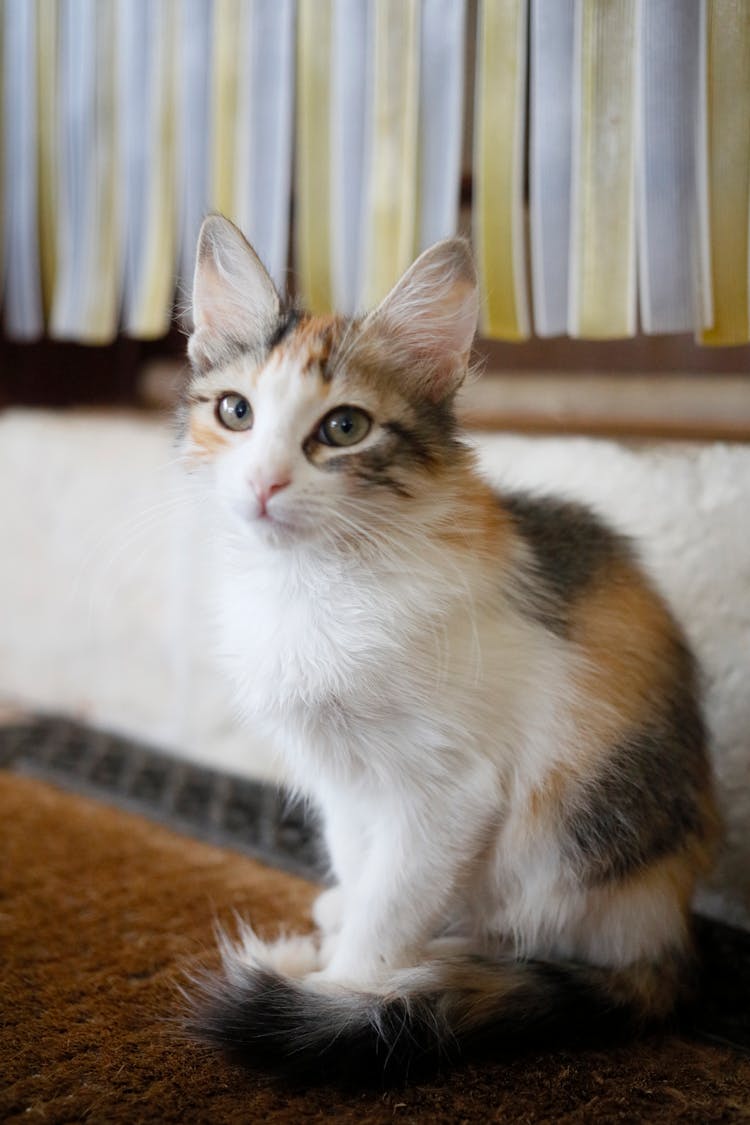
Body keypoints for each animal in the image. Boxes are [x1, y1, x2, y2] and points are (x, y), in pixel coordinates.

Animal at [178, 214, 719, 1084]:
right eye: (236, 411)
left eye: (344, 427)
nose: (263, 482)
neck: (312, 583)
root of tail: (671, 928)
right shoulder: (342, 781)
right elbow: (360, 861)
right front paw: (343, 944)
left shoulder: (450, 790)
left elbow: (393, 902)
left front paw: (346, 992)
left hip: (569, 849)